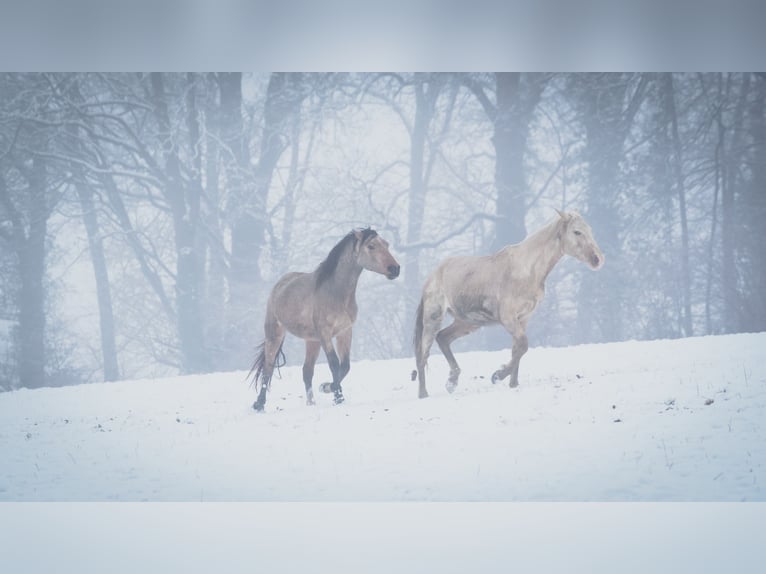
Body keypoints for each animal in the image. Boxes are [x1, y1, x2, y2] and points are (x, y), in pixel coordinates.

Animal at [252, 227, 402, 412]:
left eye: (386, 244)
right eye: (371, 246)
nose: (395, 269)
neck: (336, 293)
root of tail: (280, 285)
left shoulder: (345, 331)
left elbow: (345, 366)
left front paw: (326, 387)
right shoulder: (325, 333)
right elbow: (334, 364)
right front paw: (337, 396)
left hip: (312, 340)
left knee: (307, 371)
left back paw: (311, 403)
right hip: (275, 333)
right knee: (268, 368)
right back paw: (259, 404)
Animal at [414, 212, 608, 400]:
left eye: (589, 230)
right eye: (577, 232)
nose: (597, 259)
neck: (527, 270)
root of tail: (431, 278)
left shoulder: (523, 318)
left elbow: (517, 349)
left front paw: (512, 384)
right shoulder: (507, 317)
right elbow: (522, 345)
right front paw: (498, 375)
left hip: (467, 322)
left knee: (443, 338)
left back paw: (452, 382)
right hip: (433, 317)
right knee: (423, 354)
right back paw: (423, 394)